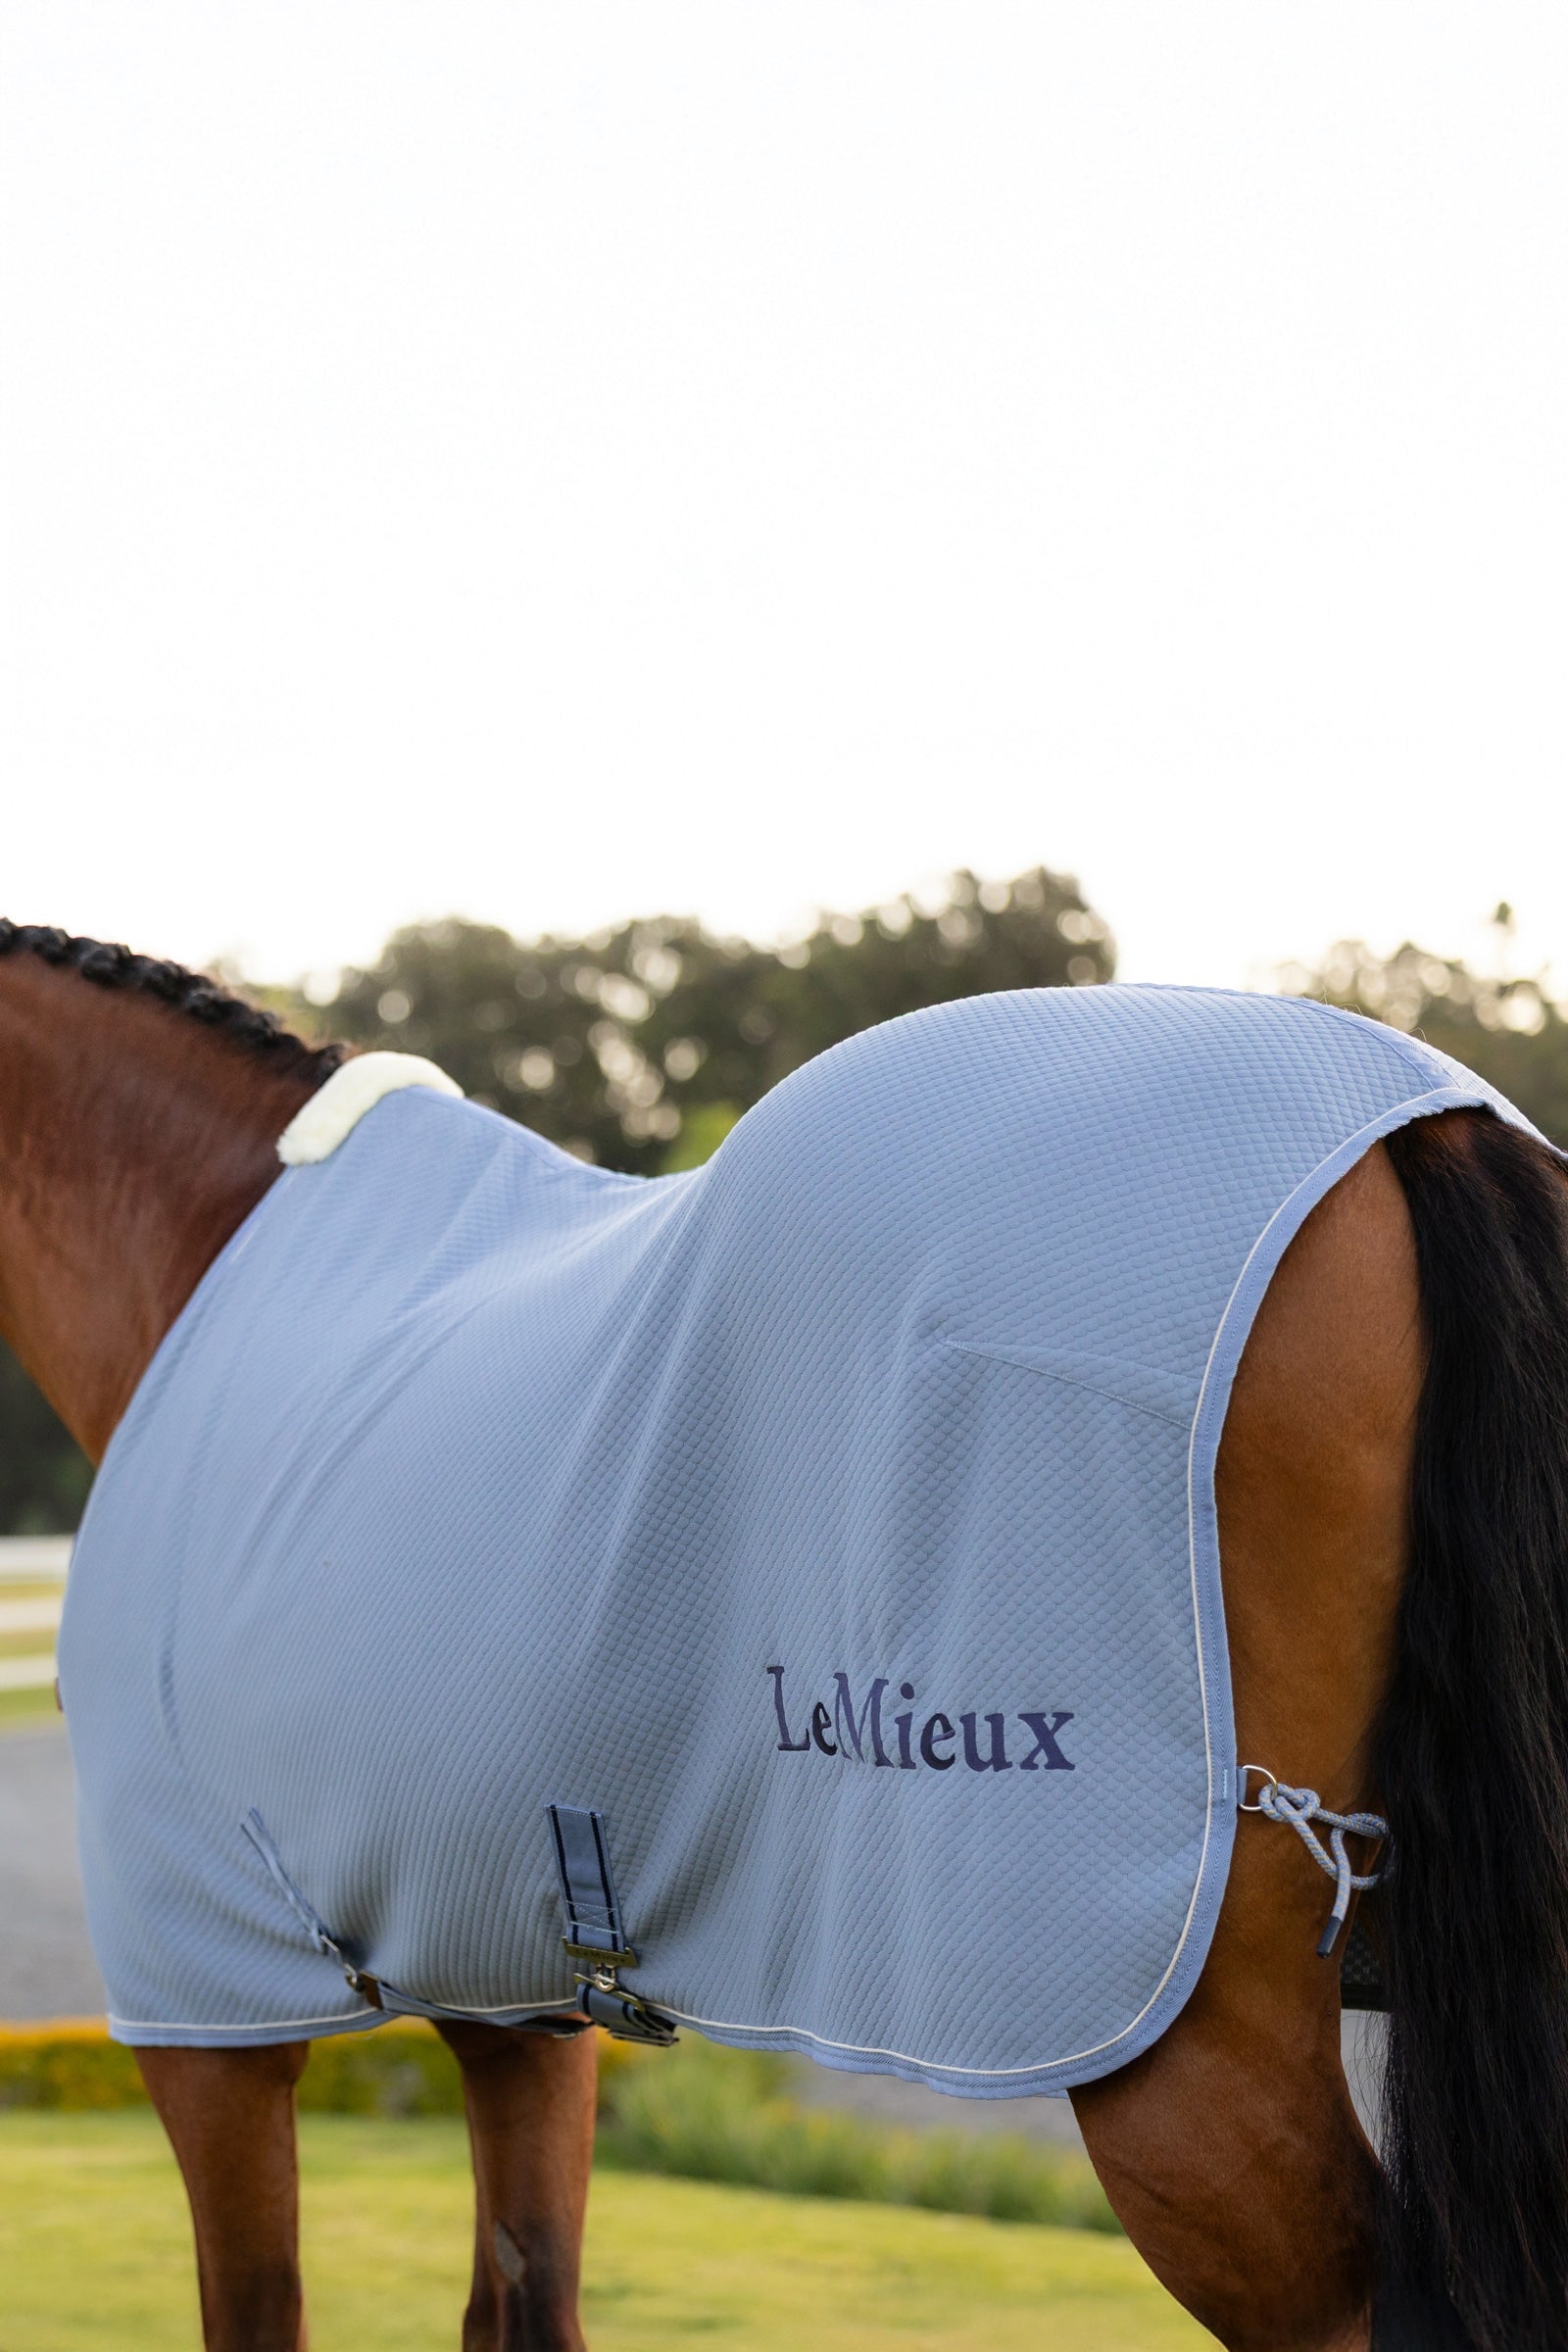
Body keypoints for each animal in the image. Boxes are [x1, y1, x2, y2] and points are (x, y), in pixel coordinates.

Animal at [3, 917, 1567, 2352]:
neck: (209, 1263)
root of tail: (1415, 1124)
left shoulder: (208, 2026)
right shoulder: (512, 2004)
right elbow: (523, 2301)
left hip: (1190, 2063)